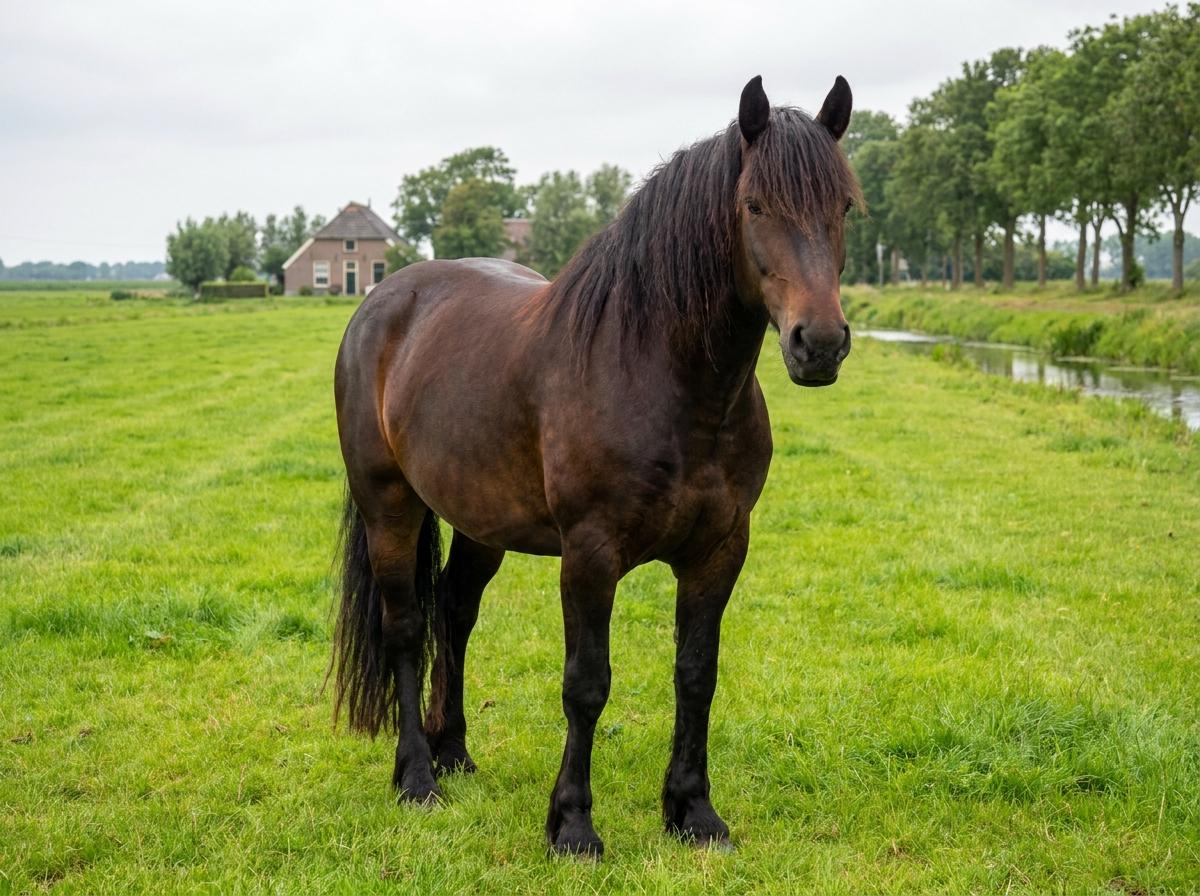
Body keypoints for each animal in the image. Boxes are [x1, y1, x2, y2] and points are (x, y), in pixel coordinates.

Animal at [330, 74, 859, 857]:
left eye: (844, 205)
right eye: (754, 205)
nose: (818, 343)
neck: (665, 381)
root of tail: (383, 299)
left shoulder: (721, 550)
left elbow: (696, 675)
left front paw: (693, 813)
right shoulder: (590, 553)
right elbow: (586, 684)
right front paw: (573, 825)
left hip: (480, 523)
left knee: (454, 613)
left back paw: (454, 752)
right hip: (389, 507)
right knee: (404, 627)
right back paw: (418, 778)